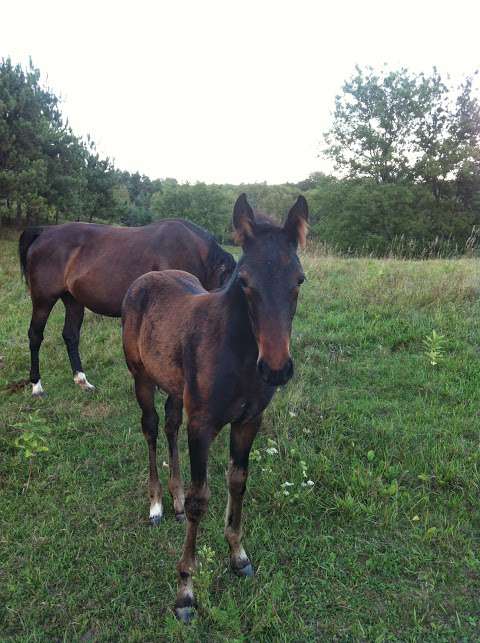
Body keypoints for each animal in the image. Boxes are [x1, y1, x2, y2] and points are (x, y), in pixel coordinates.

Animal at [18, 219, 236, 394]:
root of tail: (44, 231)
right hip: (43, 299)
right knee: (35, 335)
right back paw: (37, 386)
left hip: (73, 300)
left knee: (70, 336)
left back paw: (82, 381)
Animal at [121, 192, 308, 624]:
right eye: (245, 282)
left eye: (299, 281)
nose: (276, 368)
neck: (237, 355)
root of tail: (144, 279)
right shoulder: (203, 425)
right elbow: (200, 498)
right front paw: (185, 592)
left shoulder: (249, 420)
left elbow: (238, 480)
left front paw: (238, 556)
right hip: (141, 377)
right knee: (151, 427)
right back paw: (157, 504)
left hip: (176, 386)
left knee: (170, 424)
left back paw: (172, 502)